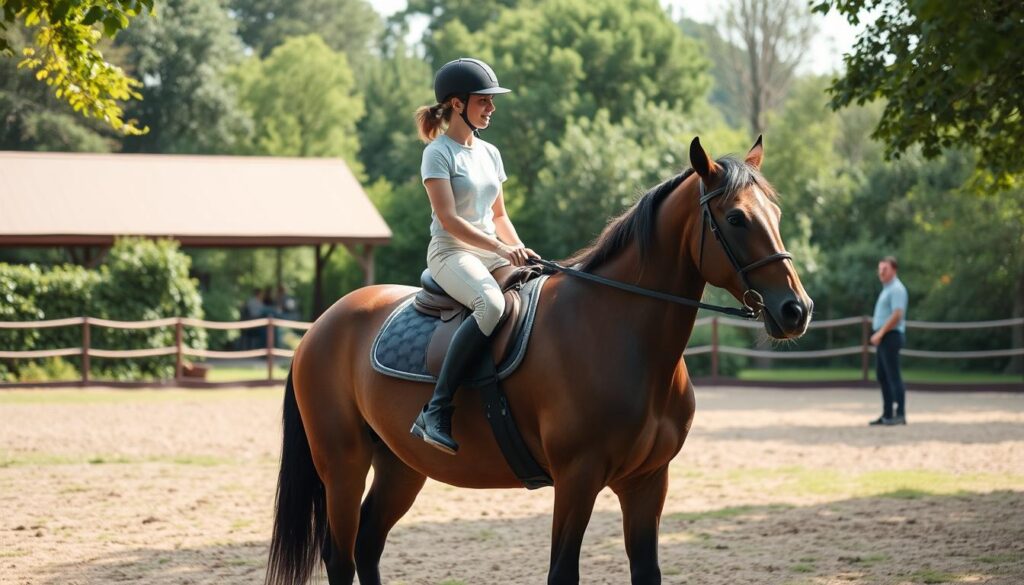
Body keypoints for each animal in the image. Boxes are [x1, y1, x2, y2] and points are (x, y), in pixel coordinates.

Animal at [268, 138, 811, 585]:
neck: (617, 330)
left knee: (367, 546)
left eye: (776, 213)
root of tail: (321, 326)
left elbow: (647, 572)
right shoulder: (577, 478)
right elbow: (562, 573)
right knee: (340, 557)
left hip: (402, 466)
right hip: (343, 464)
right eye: (736, 218)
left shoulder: (648, 481)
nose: (796, 310)